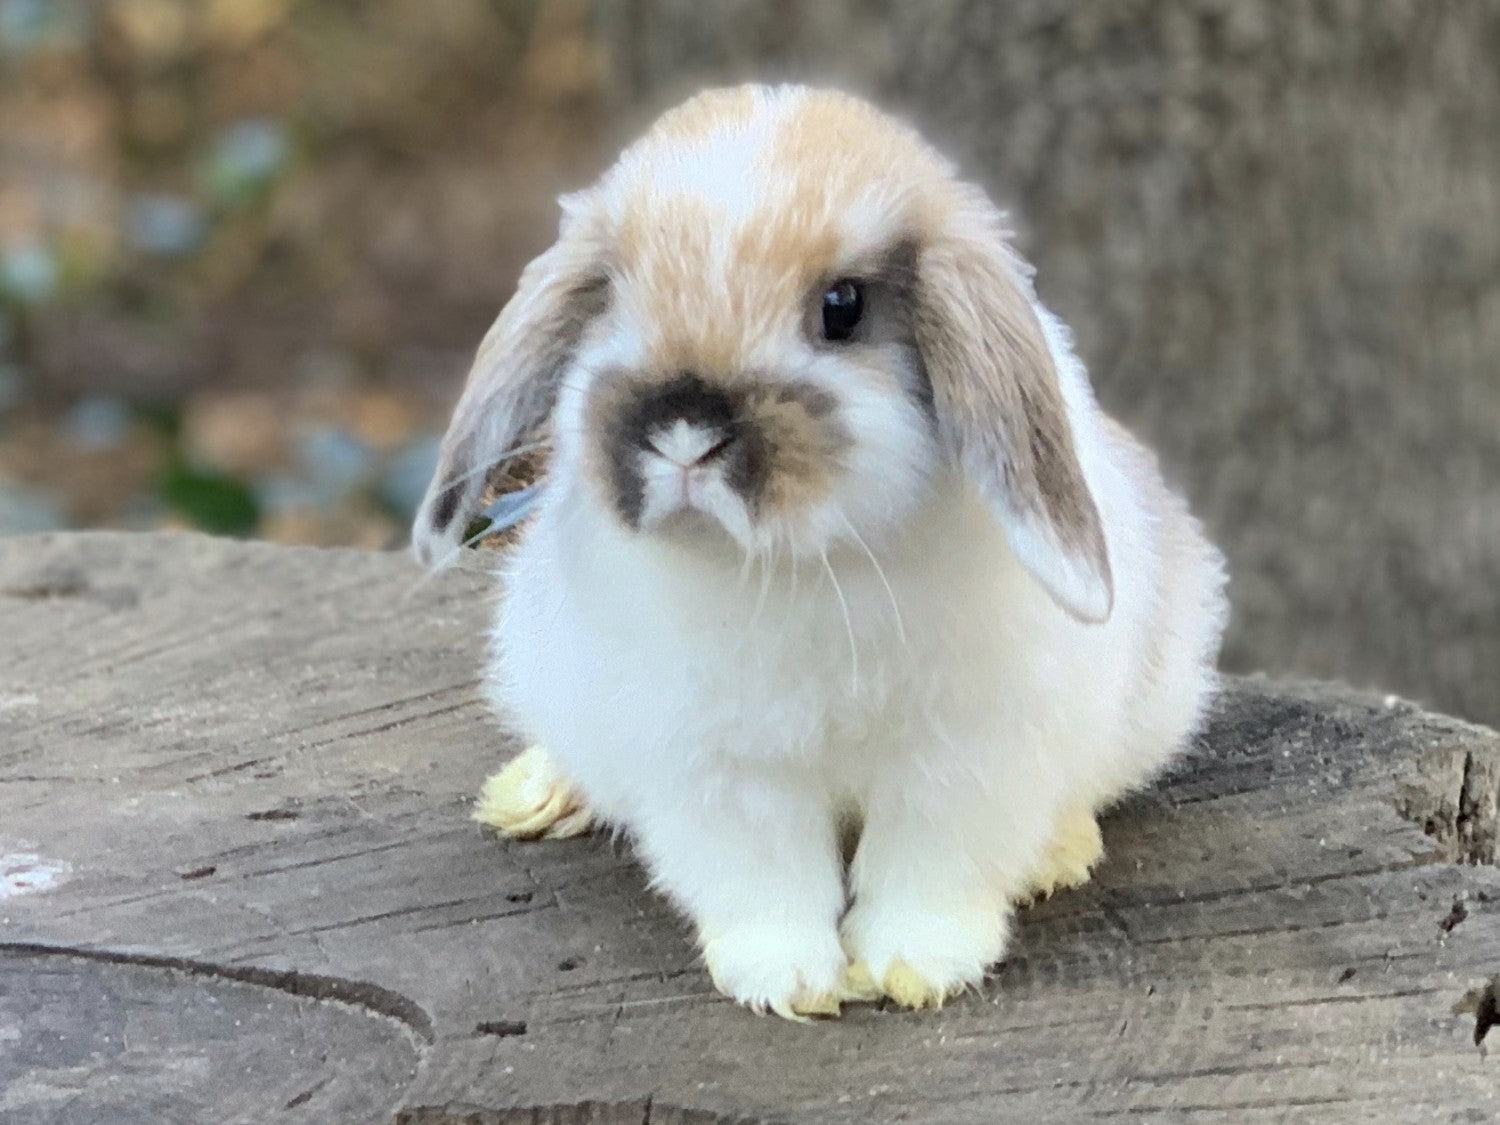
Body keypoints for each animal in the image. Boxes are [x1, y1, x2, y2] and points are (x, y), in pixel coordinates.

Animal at [412, 84, 1228, 1020]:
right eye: (613, 296)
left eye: (843, 306)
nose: (683, 430)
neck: (801, 567)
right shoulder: (721, 768)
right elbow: (766, 878)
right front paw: (789, 982)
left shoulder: (962, 757)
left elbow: (928, 867)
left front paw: (914, 969)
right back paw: (537, 795)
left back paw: (1060, 851)